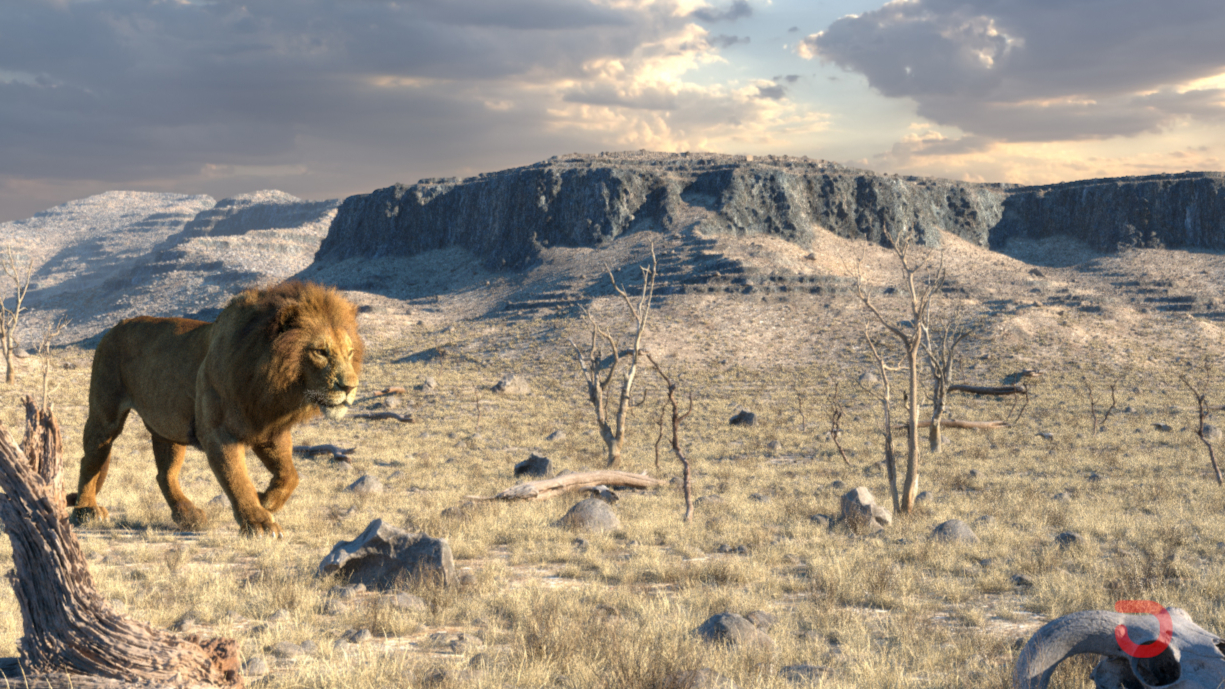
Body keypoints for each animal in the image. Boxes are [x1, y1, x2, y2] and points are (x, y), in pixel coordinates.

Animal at [68, 281, 363, 536]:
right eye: (321, 352)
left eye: (349, 353)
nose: (350, 387)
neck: (271, 386)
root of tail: (115, 326)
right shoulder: (219, 434)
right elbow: (237, 479)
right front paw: (260, 524)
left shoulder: (270, 431)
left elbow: (290, 475)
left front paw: (265, 501)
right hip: (105, 415)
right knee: (91, 459)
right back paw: (86, 509)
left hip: (169, 427)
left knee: (165, 474)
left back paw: (188, 516)